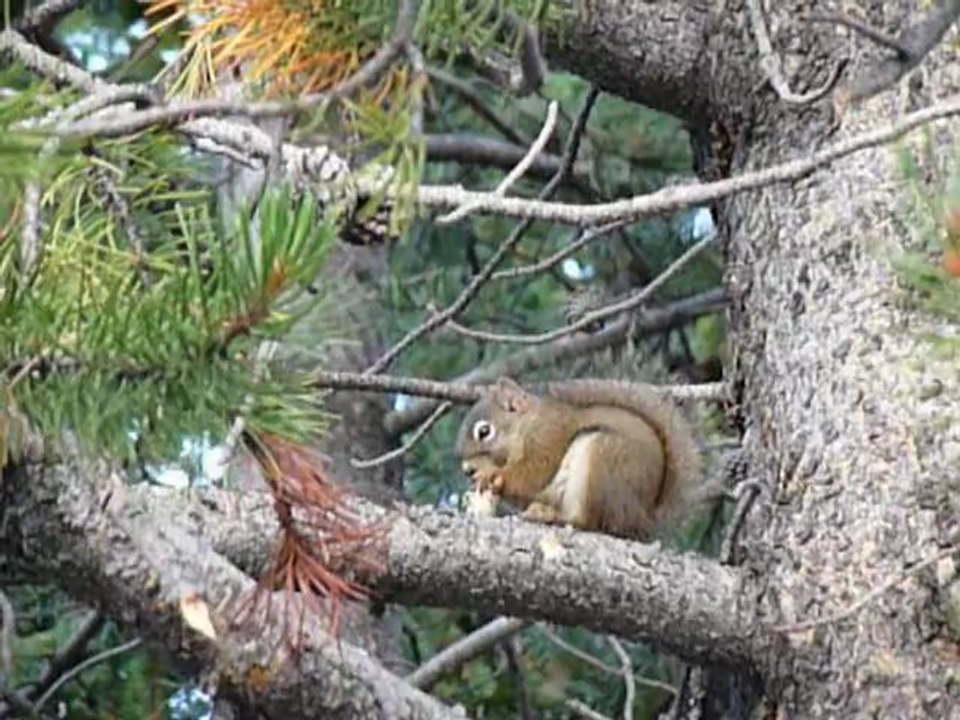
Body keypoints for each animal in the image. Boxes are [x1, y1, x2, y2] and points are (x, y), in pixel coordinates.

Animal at [454, 377, 706, 540]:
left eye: (484, 432)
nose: (467, 470)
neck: (526, 425)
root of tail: (641, 520)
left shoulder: (549, 437)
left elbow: (533, 475)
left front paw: (492, 475)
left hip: (602, 459)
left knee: (588, 522)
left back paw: (554, 518)